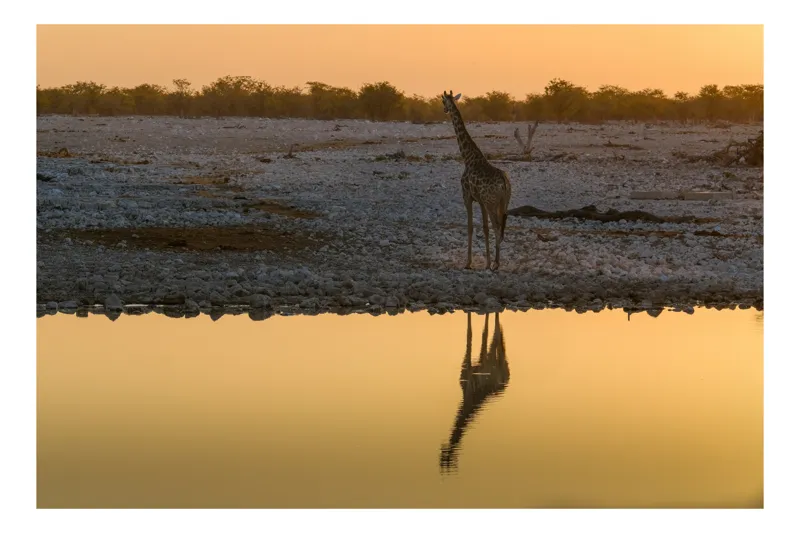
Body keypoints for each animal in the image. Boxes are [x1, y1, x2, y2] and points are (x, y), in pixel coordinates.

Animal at [440, 312, 510, 473]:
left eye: (447, 458)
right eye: (442, 458)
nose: (443, 447)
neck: (468, 398)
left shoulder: (478, 365)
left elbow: (481, 333)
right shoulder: (468, 368)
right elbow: (471, 333)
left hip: (497, 359)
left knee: (497, 335)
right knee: (496, 338)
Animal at [442, 90, 512, 271]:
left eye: (442, 101)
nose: (445, 110)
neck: (468, 158)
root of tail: (504, 182)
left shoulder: (467, 196)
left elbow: (470, 227)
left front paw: (468, 262)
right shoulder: (480, 200)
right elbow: (485, 228)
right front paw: (485, 262)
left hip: (491, 202)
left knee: (497, 226)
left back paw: (496, 263)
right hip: (503, 202)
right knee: (501, 226)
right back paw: (495, 262)